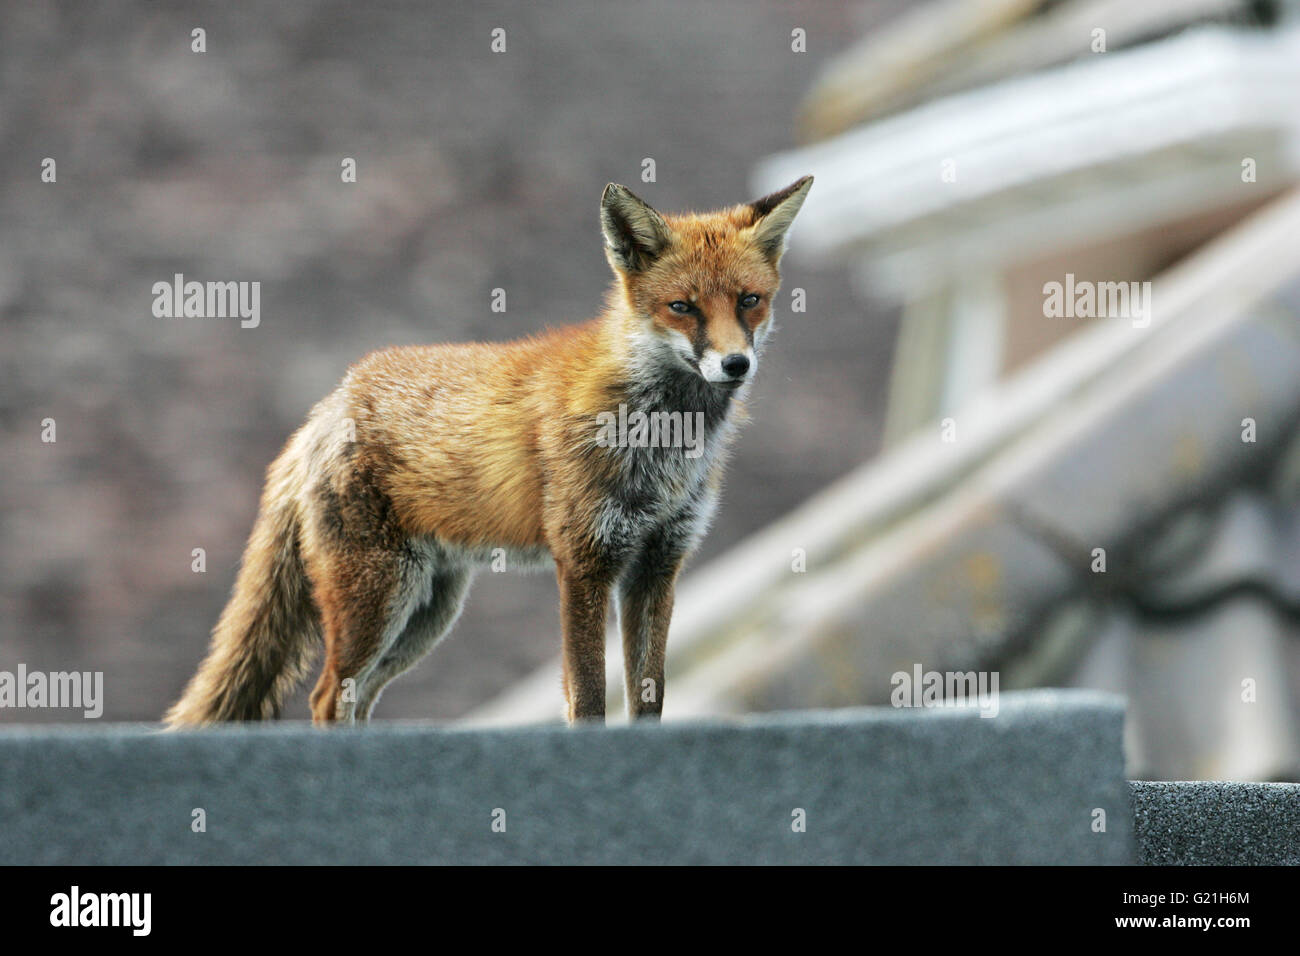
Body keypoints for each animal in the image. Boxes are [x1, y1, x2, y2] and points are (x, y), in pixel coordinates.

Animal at [165, 175, 813, 727]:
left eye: (749, 300)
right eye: (683, 307)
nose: (736, 364)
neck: (662, 439)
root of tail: (328, 404)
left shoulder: (658, 564)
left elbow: (648, 699)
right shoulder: (585, 562)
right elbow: (588, 697)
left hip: (428, 613)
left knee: (362, 696)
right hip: (378, 598)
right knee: (328, 696)